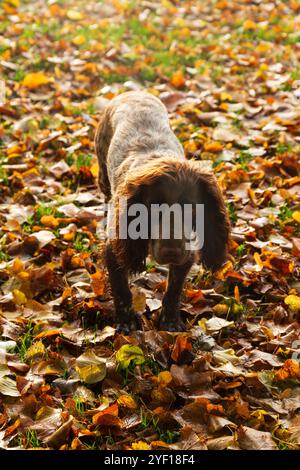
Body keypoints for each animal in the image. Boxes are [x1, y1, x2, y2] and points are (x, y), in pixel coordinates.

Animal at [95, 91, 231, 334]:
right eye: (150, 208)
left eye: (192, 208)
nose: (170, 253)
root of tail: (132, 91)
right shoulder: (115, 249)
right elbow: (121, 290)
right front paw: (126, 322)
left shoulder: (187, 253)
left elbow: (174, 289)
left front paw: (170, 321)